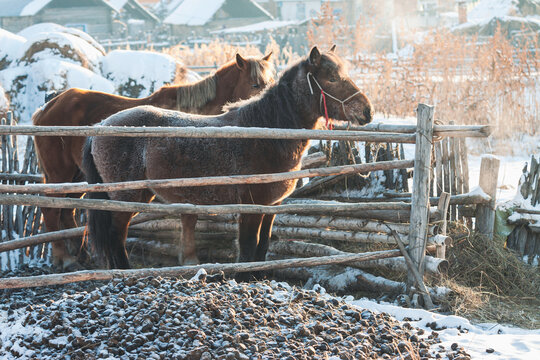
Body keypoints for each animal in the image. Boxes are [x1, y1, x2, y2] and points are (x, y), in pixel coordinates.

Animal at [32, 52, 274, 268]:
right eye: (255, 84)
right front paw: (189, 258)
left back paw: (82, 255)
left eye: (270, 82)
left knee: (68, 210)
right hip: (60, 173)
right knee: (50, 209)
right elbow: (189, 216)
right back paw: (65, 259)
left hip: (79, 175)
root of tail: (47, 107)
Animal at [82, 46, 374, 274]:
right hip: (126, 197)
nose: (367, 111)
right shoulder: (251, 205)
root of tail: (101, 126)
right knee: (116, 235)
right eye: (332, 78)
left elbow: (262, 247)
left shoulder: (272, 206)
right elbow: (247, 249)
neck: (265, 133)